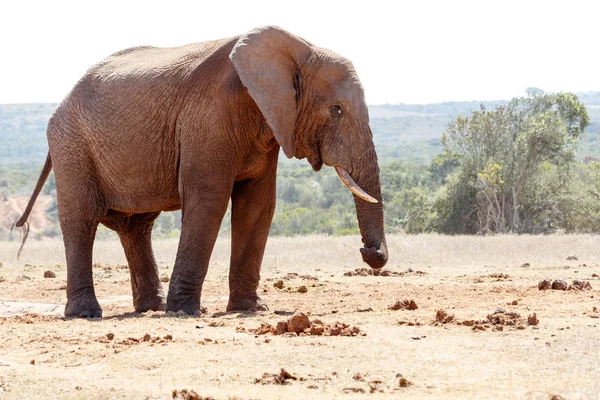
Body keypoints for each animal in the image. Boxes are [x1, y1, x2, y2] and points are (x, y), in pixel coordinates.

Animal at [16, 25, 390, 318]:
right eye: (337, 110)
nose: (369, 253)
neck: (299, 49)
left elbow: (258, 205)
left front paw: (251, 309)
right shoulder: (208, 117)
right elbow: (209, 199)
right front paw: (184, 312)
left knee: (135, 227)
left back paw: (150, 308)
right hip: (72, 145)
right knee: (81, 219)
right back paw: (87, 314)